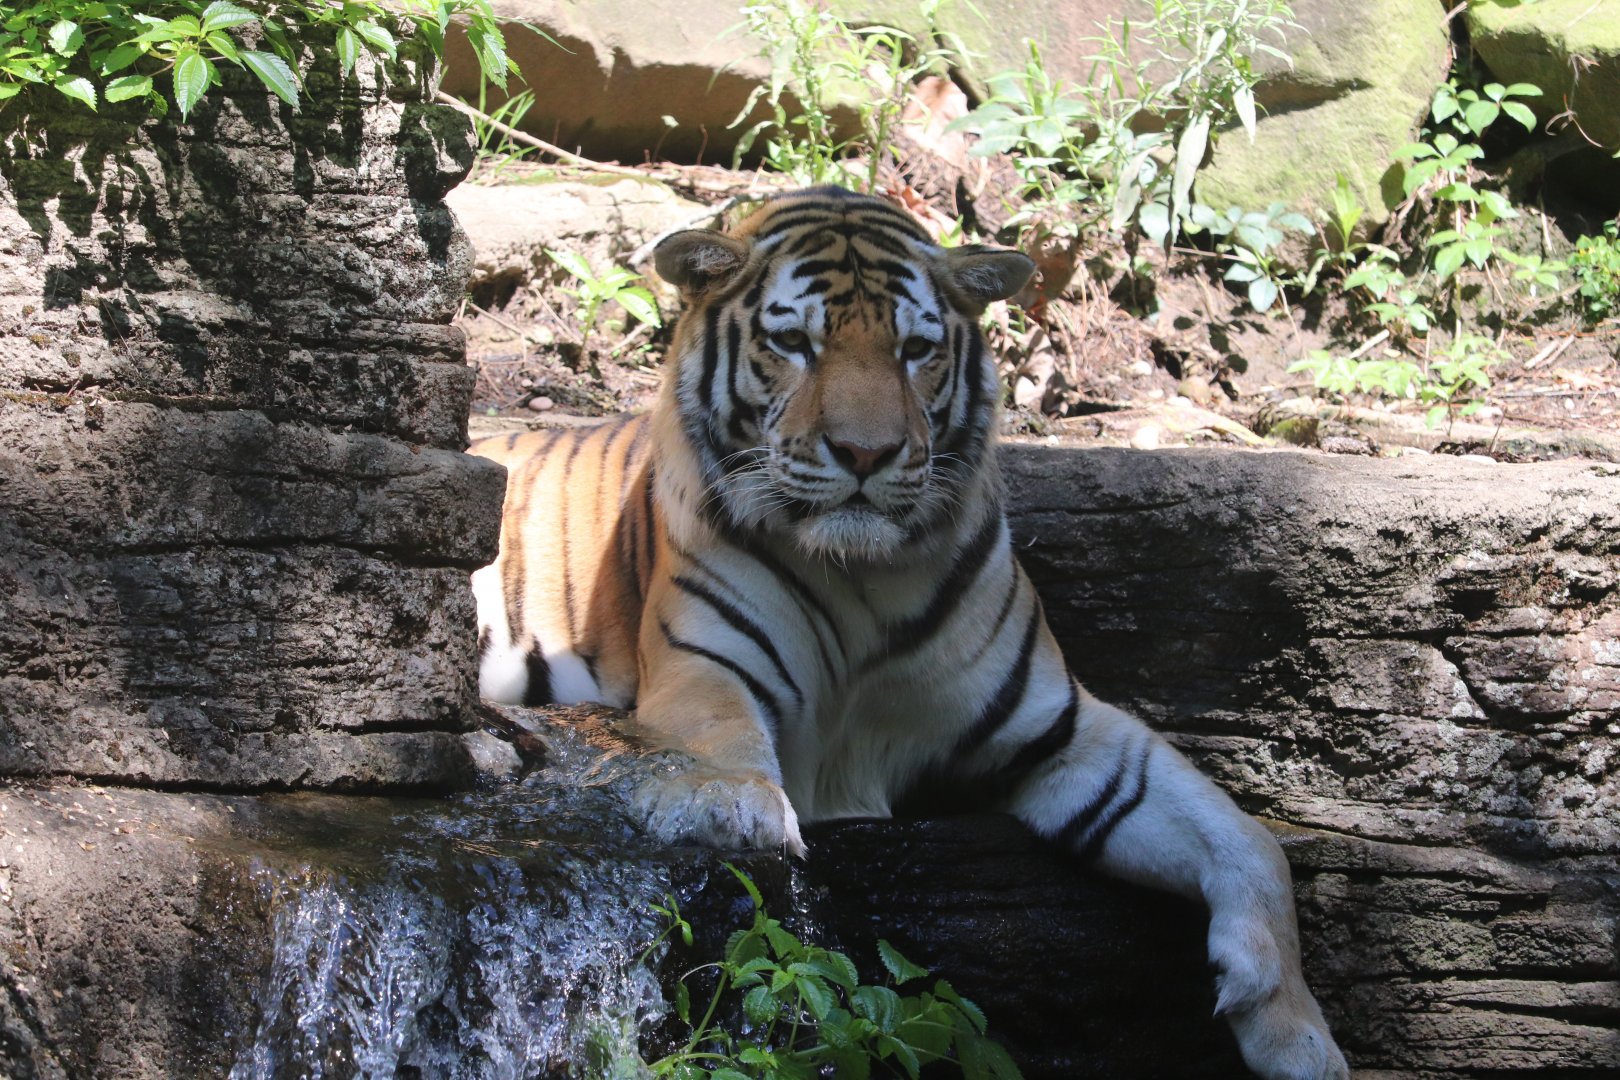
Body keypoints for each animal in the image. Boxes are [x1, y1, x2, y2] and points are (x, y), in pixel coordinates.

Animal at [469, 187, 1348, 1080]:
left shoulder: (1057, 726)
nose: (867, 453)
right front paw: (731, 806)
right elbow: (720, 735)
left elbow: (1250, 840)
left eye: (916, 349)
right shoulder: (704, 667)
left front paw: (1297, 1034)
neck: (863, 579)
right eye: (795, 343)